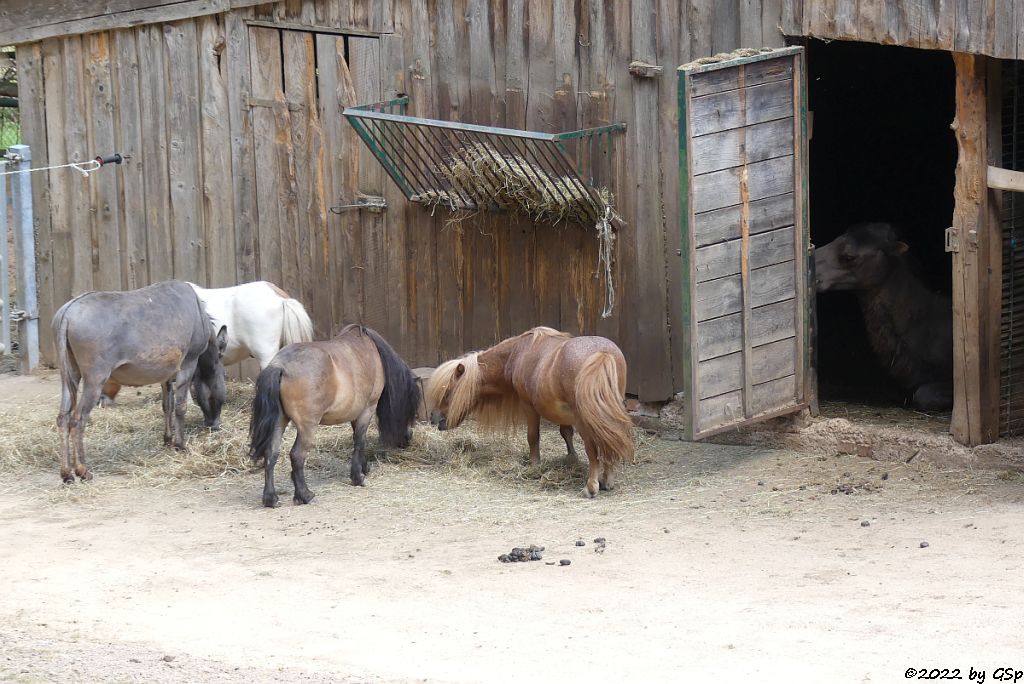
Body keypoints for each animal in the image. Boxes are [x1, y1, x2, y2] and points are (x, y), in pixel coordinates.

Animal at [51, 280, 226, 483]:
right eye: (224, 375)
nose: (214, 426)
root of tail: (68, 312)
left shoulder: (166, 376)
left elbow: (167, 406)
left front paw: (168, 440)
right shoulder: (188, 363)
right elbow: (180, 407)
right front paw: (180, 445)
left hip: (69, 374)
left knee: (63, 418)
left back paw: (66, 474)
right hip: (95, 379)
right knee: (77, 419)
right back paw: (82, 470)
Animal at [247, 325, 419, 507]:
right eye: (413, 410)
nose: (408, 437)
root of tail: (280, 366)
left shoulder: (356, 412)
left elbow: (358, 438)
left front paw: (363, 468)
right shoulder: (367, 408)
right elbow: (360, 440)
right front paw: (358, 477)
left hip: (279, 422)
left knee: (271, 453)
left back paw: (270, 498)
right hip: (307, 427)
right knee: (297, 455)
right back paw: (304, 495)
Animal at [423, 325, 630, 497]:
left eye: (448, 392)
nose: (434, 418)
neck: (518, 353)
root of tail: (602, 354)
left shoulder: (529, 406)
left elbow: (533, 437)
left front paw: (534, 465)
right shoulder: (563, 412)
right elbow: (566, 432)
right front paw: (571, 458)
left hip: (584, 419)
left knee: (593, 447)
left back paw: (591, 486)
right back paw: (607, 479)